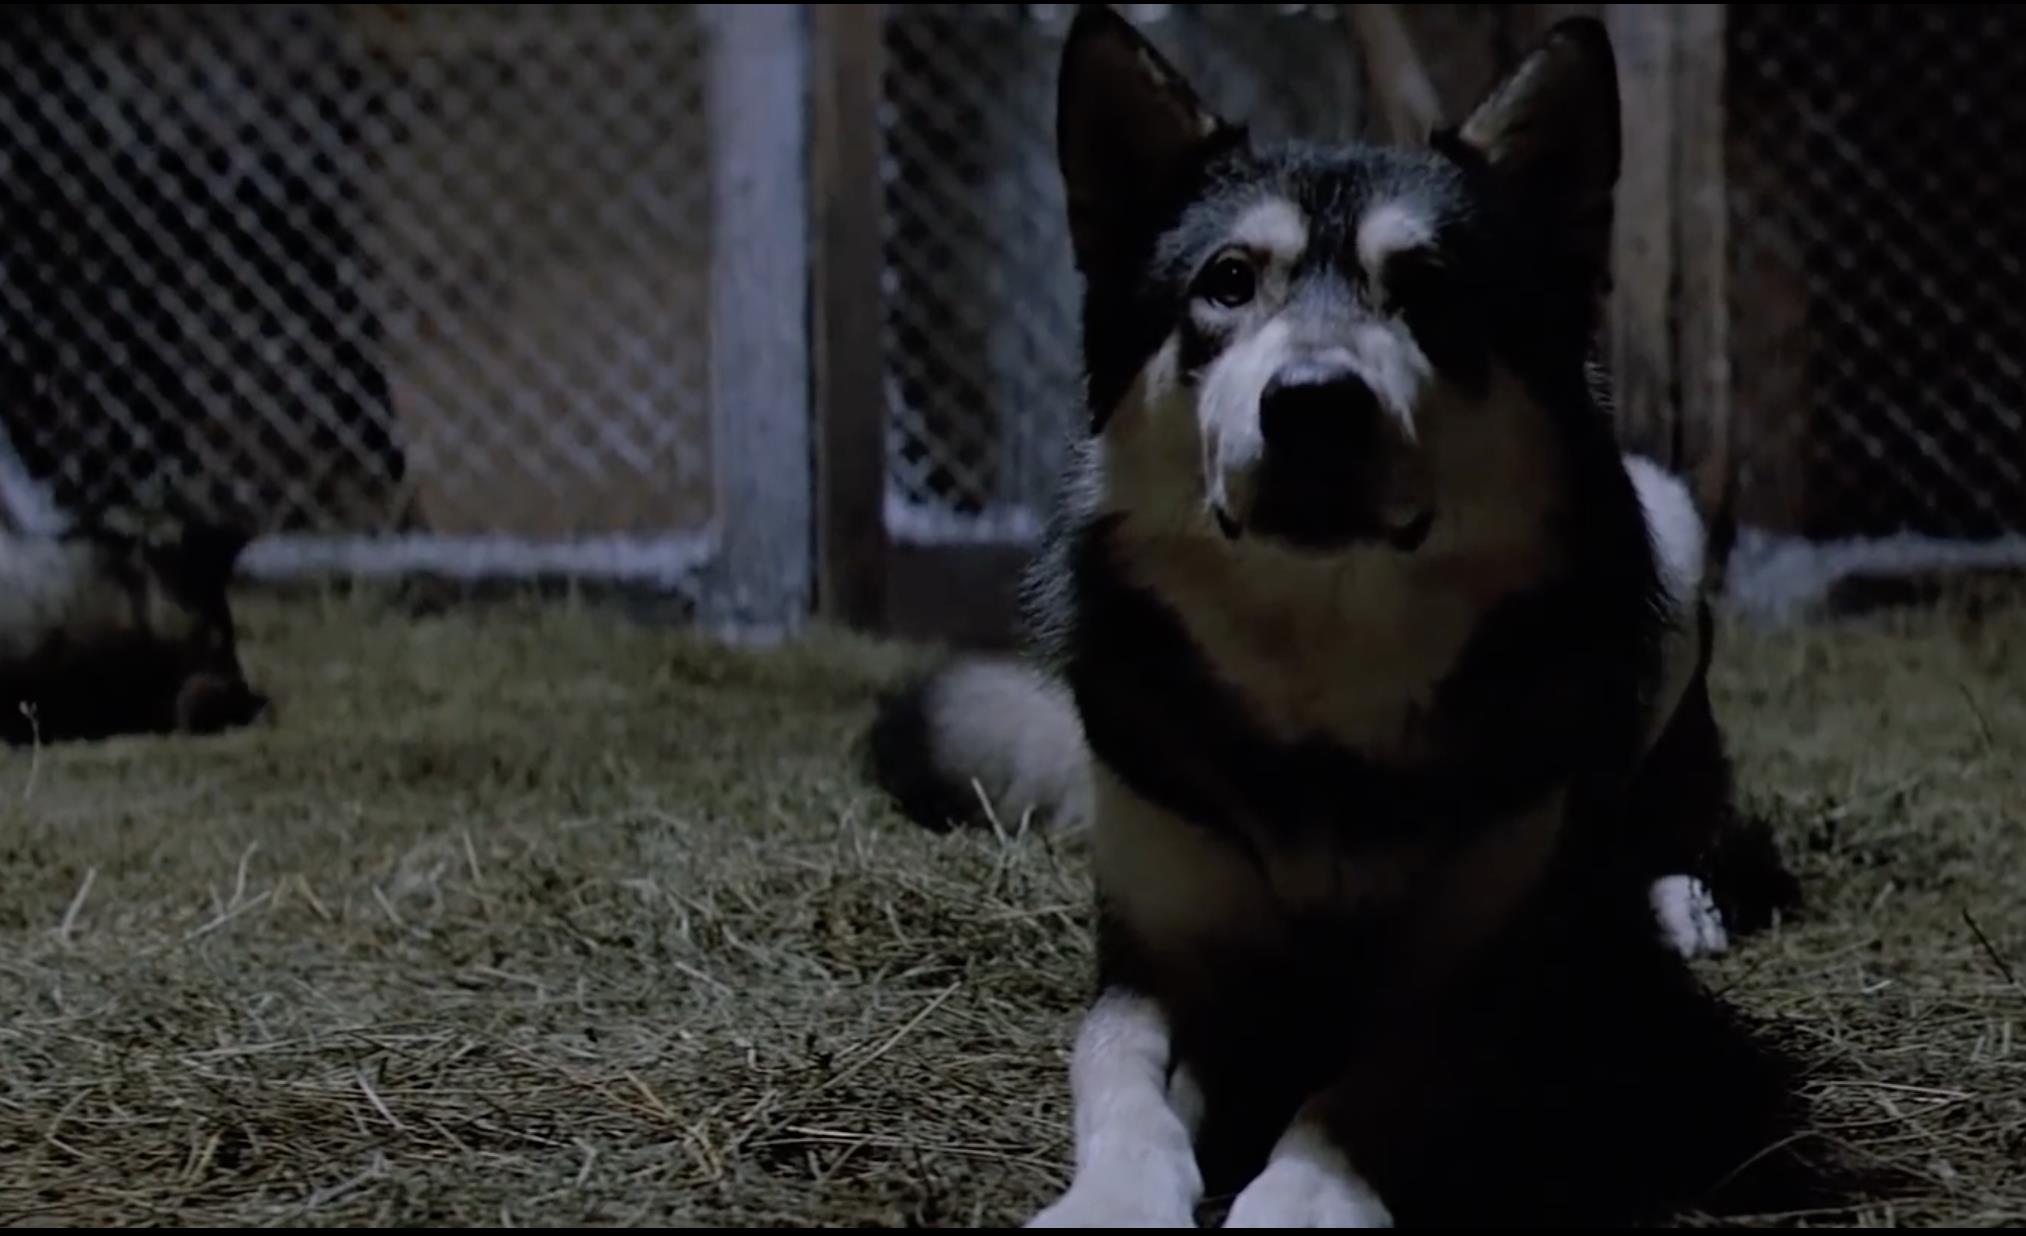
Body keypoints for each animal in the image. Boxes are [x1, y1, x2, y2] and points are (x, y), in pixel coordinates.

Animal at [864, 6, 1815, 1227]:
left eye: (1429, 286)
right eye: (1226, 282)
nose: (1313, 404)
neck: (1321, 667)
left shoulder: (1468, 974)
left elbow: (1365, 1084)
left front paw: (1307, 1194)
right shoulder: (1156, 958)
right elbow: (1113, 1069)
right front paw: (1116, 1198)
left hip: (1668, 522)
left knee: (1662, 818)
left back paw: (1667, 902)